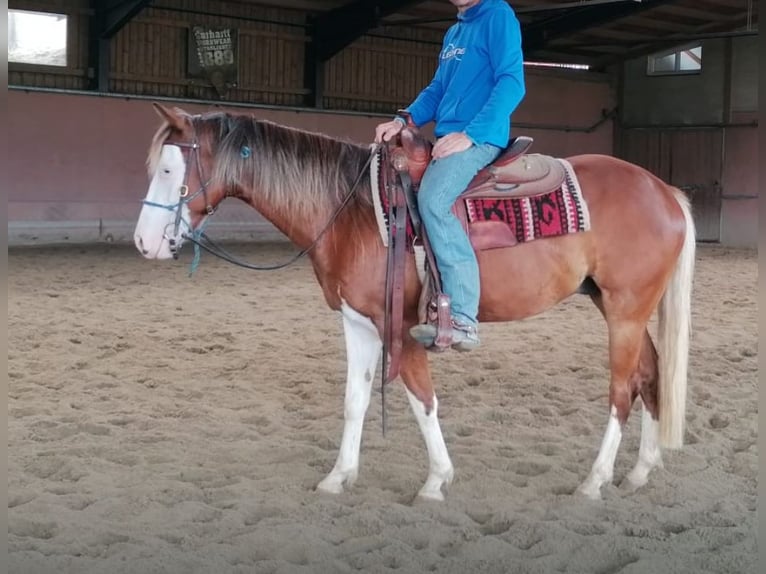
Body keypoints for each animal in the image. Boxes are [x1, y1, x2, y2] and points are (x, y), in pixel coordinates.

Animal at [134, 103, 694, 501]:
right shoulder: (358, 321)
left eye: (170, 170)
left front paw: (435, 481)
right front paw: (338, 477)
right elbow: (356, 400)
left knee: (622, 391)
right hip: (621, 307)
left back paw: (594, 482)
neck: (352, 209)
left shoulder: (399, 324)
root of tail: (663, 189)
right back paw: (640, 473)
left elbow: (422, 399)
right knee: (651, 376)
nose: (144, 243)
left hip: (624, 311)